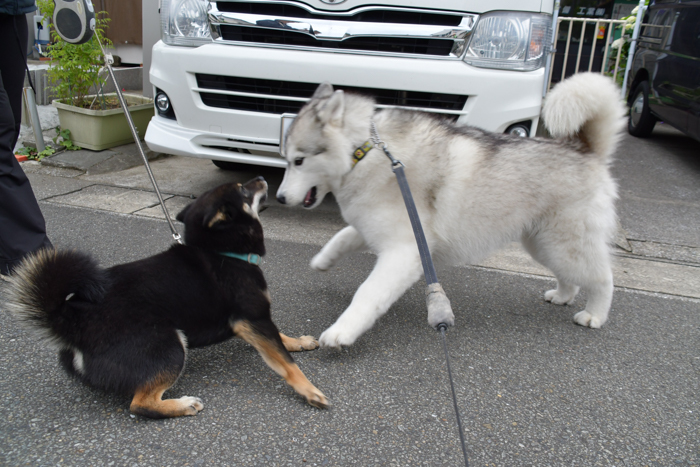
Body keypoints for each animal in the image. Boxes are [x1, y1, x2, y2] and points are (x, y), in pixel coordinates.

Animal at [276, 73, 628, 350]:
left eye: (298, 161)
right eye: (286, 159)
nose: (279, 197)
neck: (363, 151)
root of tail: (585, 150)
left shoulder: (404, 251)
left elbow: (367, 293)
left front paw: (342, 331)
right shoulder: (380, 229)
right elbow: (342, 236)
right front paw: (322, 261)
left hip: (563, 244)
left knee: (603, 277)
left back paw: (595, 314)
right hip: (543, 245)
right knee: (572, 276)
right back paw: (563, 294)